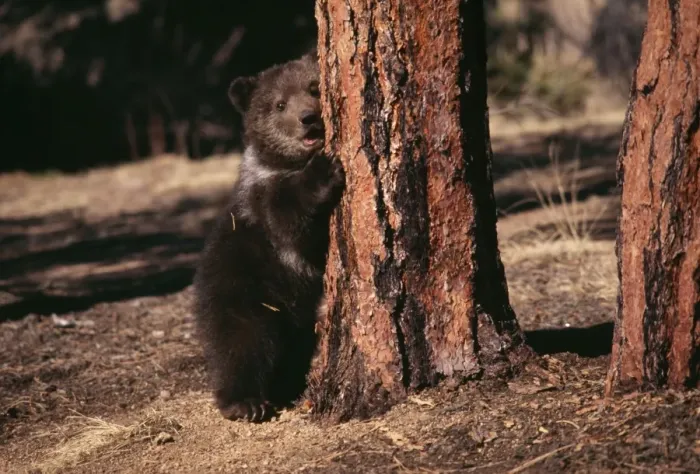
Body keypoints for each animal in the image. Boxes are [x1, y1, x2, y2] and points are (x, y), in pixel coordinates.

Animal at [192, 51, 344, 422]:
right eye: (279, 104)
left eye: (314, 86)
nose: (308, 118)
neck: (284, 164)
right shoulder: (262, 206)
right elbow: (289, 219)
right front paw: (322, 171)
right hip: (242, 291)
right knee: (241, 345)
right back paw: (245, 402)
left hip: (295, 316)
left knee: (293, 349)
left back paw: (287, 388)